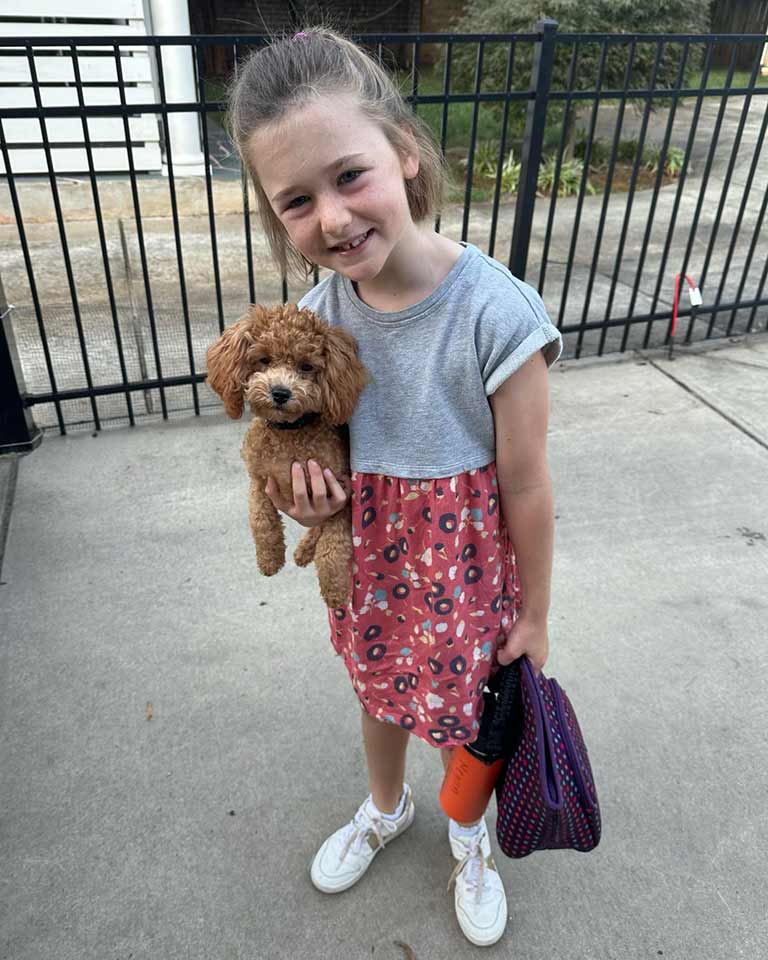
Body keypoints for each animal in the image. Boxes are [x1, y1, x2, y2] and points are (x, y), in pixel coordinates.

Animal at [206, 302, 370, 608]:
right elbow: (261, 520)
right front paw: (269, 560)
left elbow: (333, 547)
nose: (280, 393)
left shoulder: (341, 493)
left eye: (306, 366)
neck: (289, 433)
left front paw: (335, 589)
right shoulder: (259, 481)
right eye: (264, 360)